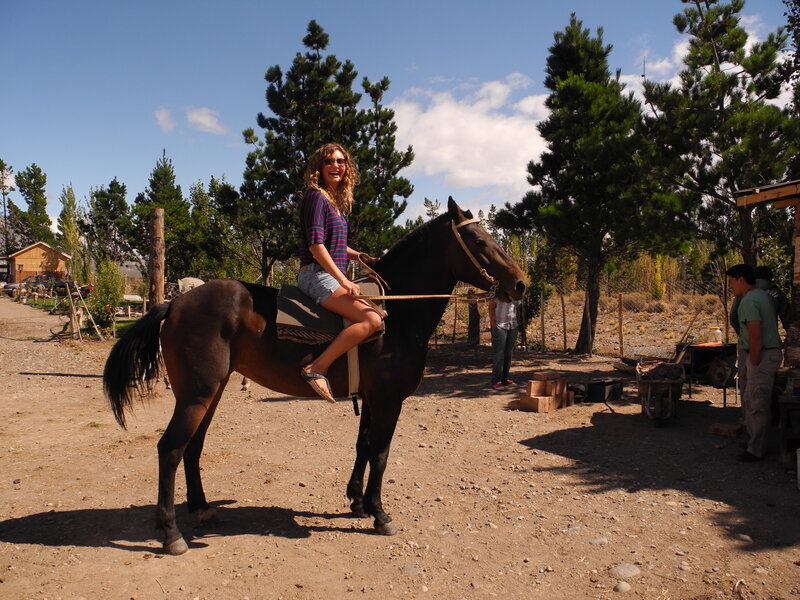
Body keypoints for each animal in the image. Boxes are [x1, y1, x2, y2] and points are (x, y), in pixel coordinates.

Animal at [103, 197, 527, 555]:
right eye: (479, 240)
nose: (521, 284)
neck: (394, 313)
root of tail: (174, 304)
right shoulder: (388, 400)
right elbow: (381, 452)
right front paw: (379, 513)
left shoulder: (371, 399)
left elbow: (363, 446)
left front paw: (357, 501)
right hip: (197, 394)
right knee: (170, 450)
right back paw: (171, 533)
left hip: (212, 392)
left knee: (193, 447)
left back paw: (202, 508)